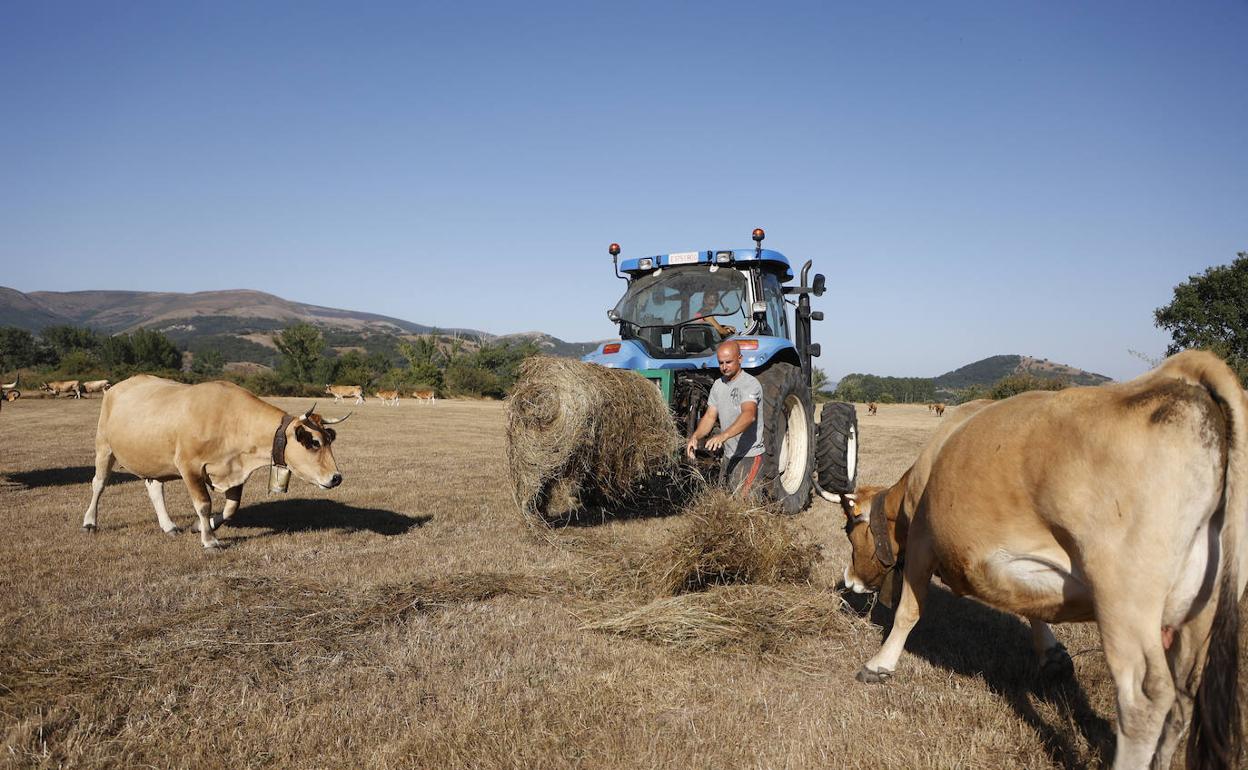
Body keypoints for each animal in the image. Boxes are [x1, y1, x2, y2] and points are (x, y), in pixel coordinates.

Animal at [83, 374, 349, 546]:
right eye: (313, 442)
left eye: (329, 439)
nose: (336, 478)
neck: (229, 419)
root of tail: (118, 386)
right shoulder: (189, 467)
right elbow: (203, 504)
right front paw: (209, 539)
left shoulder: (236, 470)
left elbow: (231, 508)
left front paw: (201, 526)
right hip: (104, 447)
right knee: (99, 484)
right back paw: (90, 522)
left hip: (153, 459)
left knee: (155, 489)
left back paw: (169, 526)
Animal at [843, 349, 1243, 768]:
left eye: (850, 532)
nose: (848, 581)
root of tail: (1180, 376)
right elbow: (1030, 606)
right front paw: (1051, 653)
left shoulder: (923, 540)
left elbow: (909, 610)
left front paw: (880, 664)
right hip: (1200, 608)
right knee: (1184, 698)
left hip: (1125, 595)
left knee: (1145, 698)